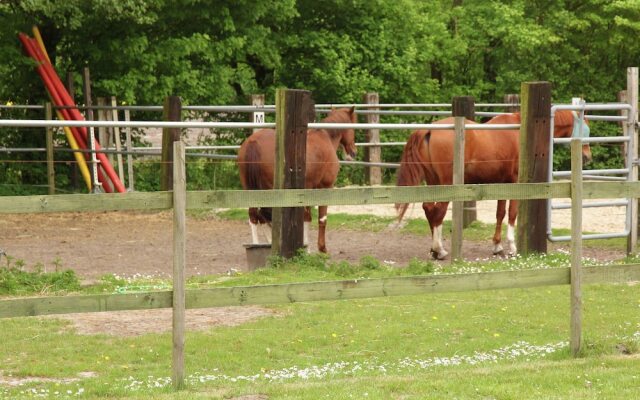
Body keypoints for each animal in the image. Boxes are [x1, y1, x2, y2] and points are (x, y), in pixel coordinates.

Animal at [238, 106, 358, 253]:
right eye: (353, 126)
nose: (353, 152)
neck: (326, 138)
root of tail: (253, 141)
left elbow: (307, 218)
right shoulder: (325, 187)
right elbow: (320, 218)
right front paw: (319, 248)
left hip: (251, 190)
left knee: (255, 216)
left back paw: (260, 244)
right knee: (264, 215)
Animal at [398, 109, 592, 260]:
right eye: (586, 130)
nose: (587, 156)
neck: (518, 132)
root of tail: (429, 130)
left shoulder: (501, 183)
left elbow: (500, 214)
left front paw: (497, 247)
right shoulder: (515, 183)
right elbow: (512, 213)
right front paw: (512, 247)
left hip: (434, 182)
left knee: (429, 209)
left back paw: (434, 250)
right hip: (446, 185)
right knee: (438, 212)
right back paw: (440, 249)